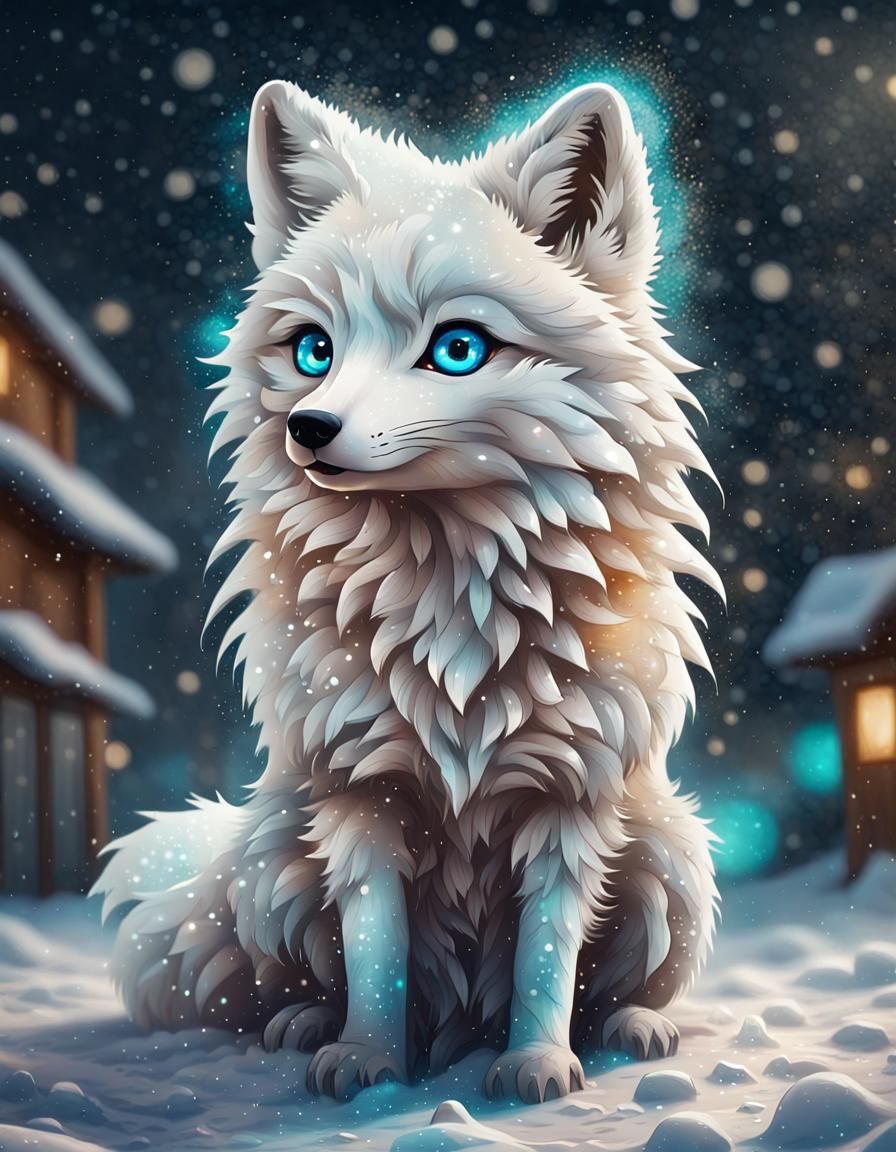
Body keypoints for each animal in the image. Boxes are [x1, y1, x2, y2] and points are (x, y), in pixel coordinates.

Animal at [92, 79, 721, 1105]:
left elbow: (549, 955)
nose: (310, 428)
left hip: (671, 857)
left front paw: (537, 1064)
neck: (448, 599)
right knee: (297, 978)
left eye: (458, 348)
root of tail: (460, 1023)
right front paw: (371, 1060)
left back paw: (631, 1029)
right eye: (312, 351)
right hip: (277, 857)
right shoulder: (359, 796)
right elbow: (375, 947)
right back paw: (310, 1026)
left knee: (617, 984)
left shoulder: (571, 803)